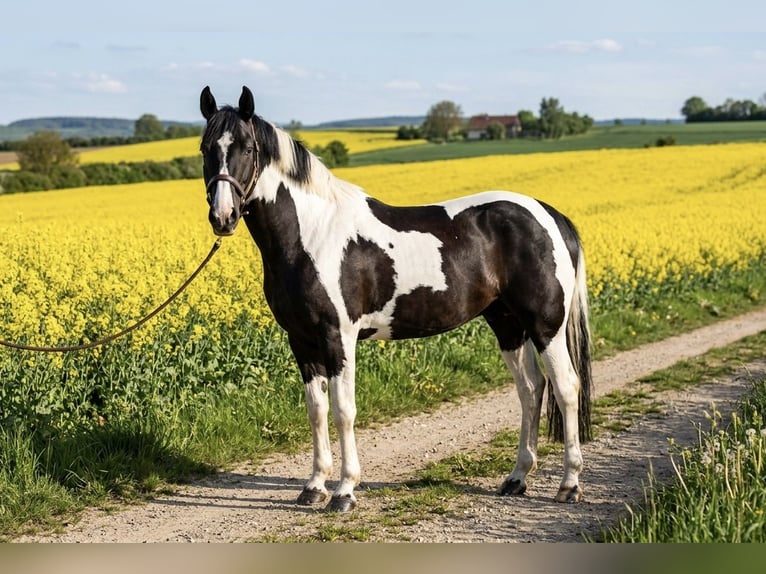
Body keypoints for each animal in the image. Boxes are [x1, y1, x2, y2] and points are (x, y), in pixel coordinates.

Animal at [199, 85, 593, 512]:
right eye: (205, 148)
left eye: (247, 148)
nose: (223, 217)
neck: (313, 234)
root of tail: (551, 216)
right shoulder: (301, 340)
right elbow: (316, 411)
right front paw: (314, 487)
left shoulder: (338, 337)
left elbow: (343, 410)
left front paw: (345, 491)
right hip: (507, 324)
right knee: (531, 388)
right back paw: (517, 477)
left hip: (545, 325)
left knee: (566, 387)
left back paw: (570, 484)